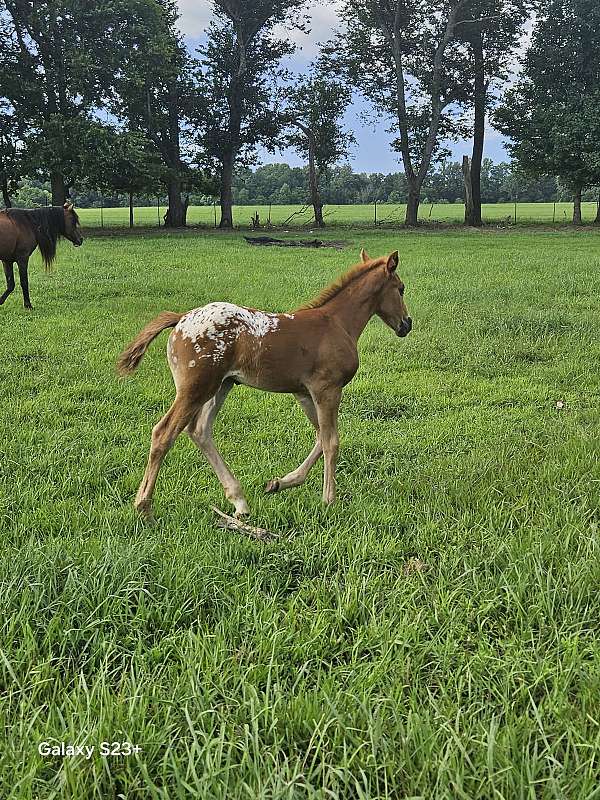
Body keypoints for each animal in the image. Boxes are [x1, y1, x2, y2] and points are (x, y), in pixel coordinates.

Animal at [117, 249, 412, 522]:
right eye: (401, 289)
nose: (406, 325)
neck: (336, 323)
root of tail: (181, 318)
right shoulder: (327, 389)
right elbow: (331, 441)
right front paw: (329, 500)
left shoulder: (304, 393)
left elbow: (319, 437)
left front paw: (279, 483)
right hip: (196, 388)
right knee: (163, 433)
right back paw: (144, 507)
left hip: (221, 386)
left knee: (200, 431)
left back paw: (239, 501)